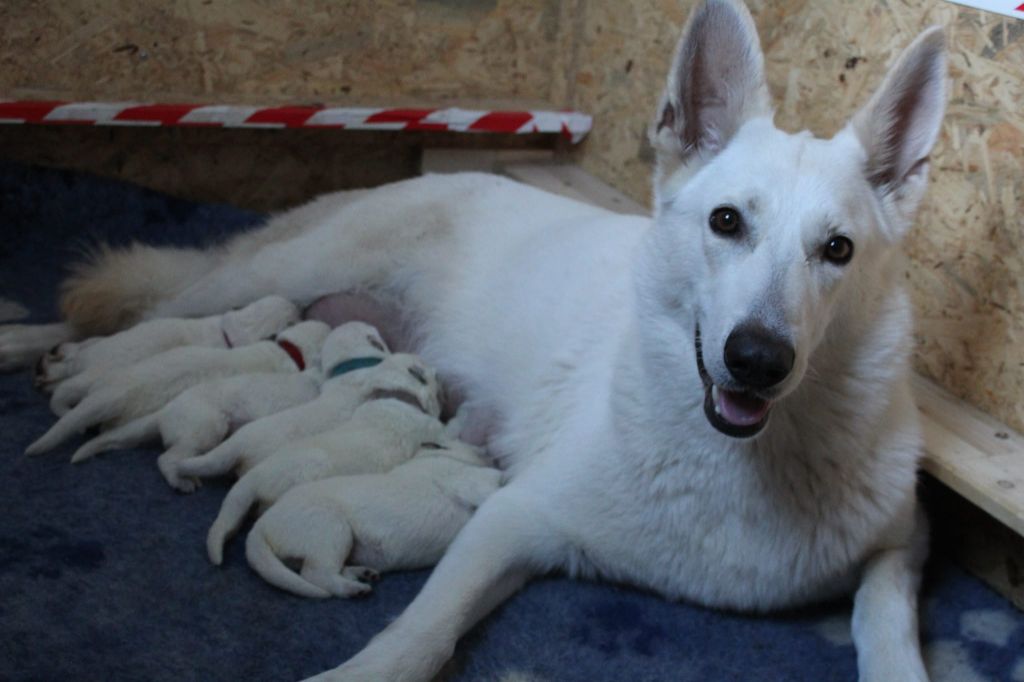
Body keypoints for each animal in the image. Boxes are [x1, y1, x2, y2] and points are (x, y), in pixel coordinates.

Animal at [45, 294, 299, 411]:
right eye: (294, 318)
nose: (298, 305)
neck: (228, 330)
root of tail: (81, 363)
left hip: (96, 347)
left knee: (78, 349)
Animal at [244, 438, 499, 598]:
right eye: (479, 449)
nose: (492, 453)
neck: (434, 455)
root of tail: (260, 525)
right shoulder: (466, 478)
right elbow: (492, 480)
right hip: (332, 529)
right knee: (316, 574)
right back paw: (352, 589)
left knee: (323, 568)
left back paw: (362, 574)